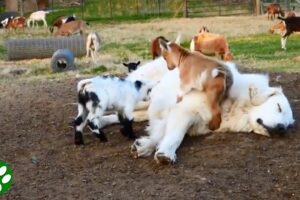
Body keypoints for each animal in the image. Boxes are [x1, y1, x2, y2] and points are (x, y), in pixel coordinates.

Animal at [130, 57, 294, 164]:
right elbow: (174, 136)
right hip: (143, 98)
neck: (233, 104)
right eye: (279, 107)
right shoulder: (184, 111)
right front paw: (165, 153)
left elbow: (160, 134)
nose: (282, 129)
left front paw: (145, 145)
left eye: (289, 125)